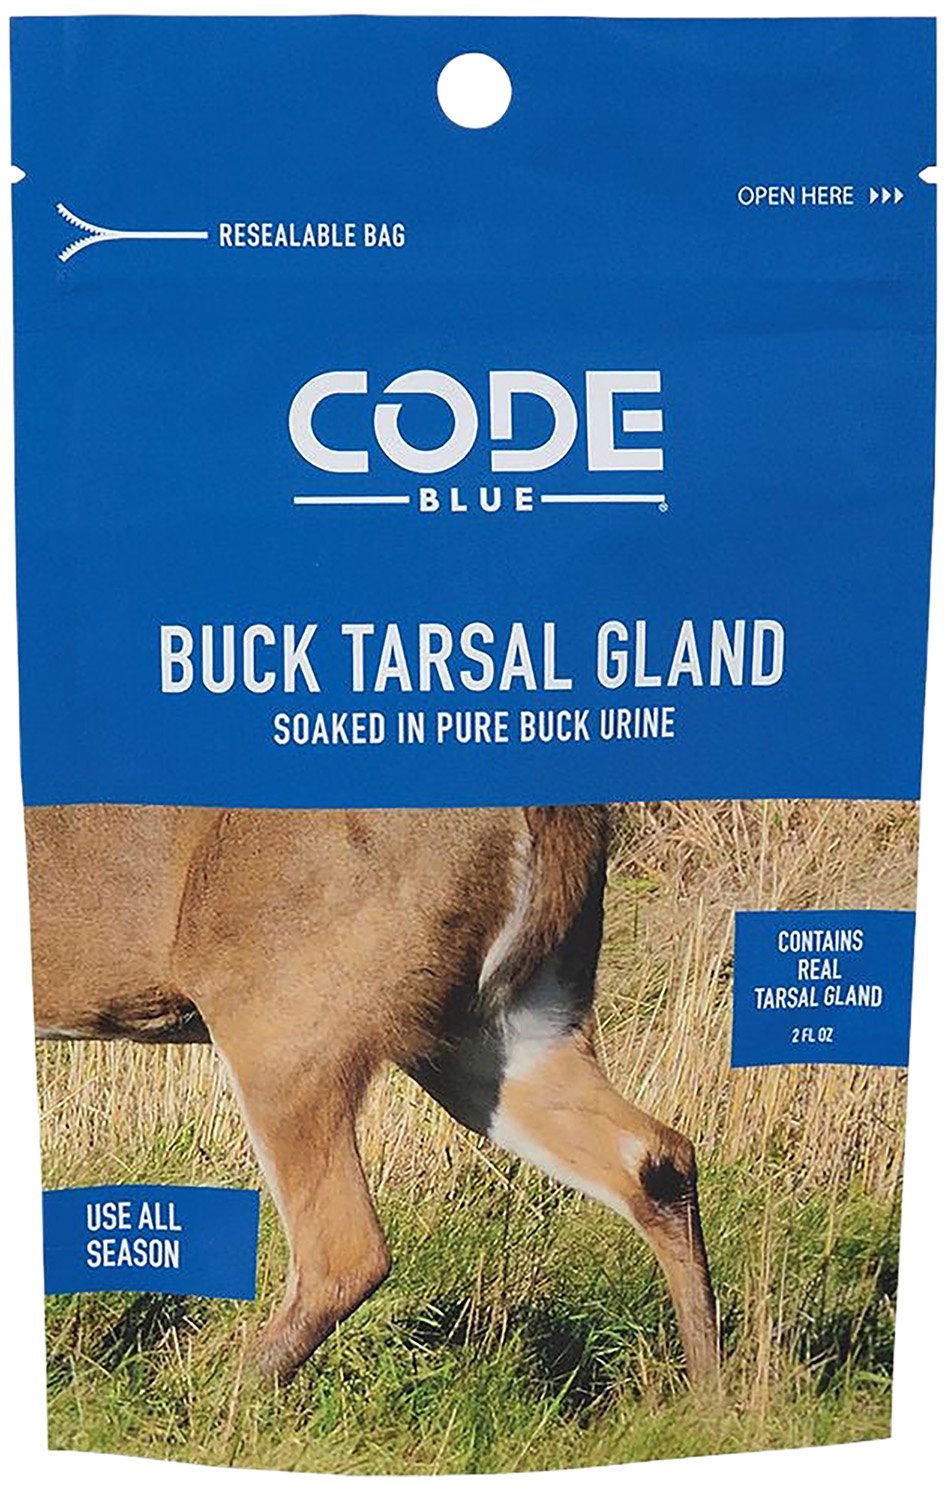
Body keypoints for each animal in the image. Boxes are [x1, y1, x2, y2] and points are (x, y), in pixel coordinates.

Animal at [27, 803, 718, 1384]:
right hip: (508, 1023)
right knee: (656, 1155)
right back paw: (709, 1396)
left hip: (281, 1006)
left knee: (344, 1249)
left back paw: (215, 1398)